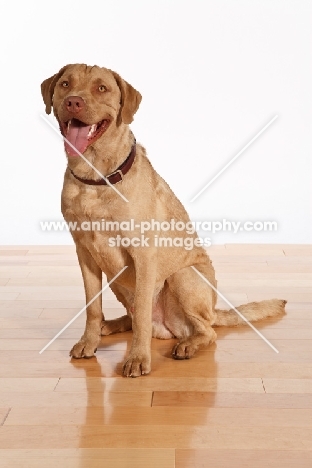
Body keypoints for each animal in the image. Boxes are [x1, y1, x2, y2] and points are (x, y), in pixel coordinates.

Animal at [41, 64, 288, 376]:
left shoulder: (143, 255)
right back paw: (109, 326)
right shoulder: (84, 254)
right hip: (116, 279)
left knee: (204, 330)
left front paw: (137, 358)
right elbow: (92, 307)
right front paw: (89, 341)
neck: (96, 177)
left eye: (101, 88)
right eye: (65, 84)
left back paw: (187, 345)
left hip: (183, 277)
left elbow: (142, 317)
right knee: (133, 317)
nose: (74, 101)